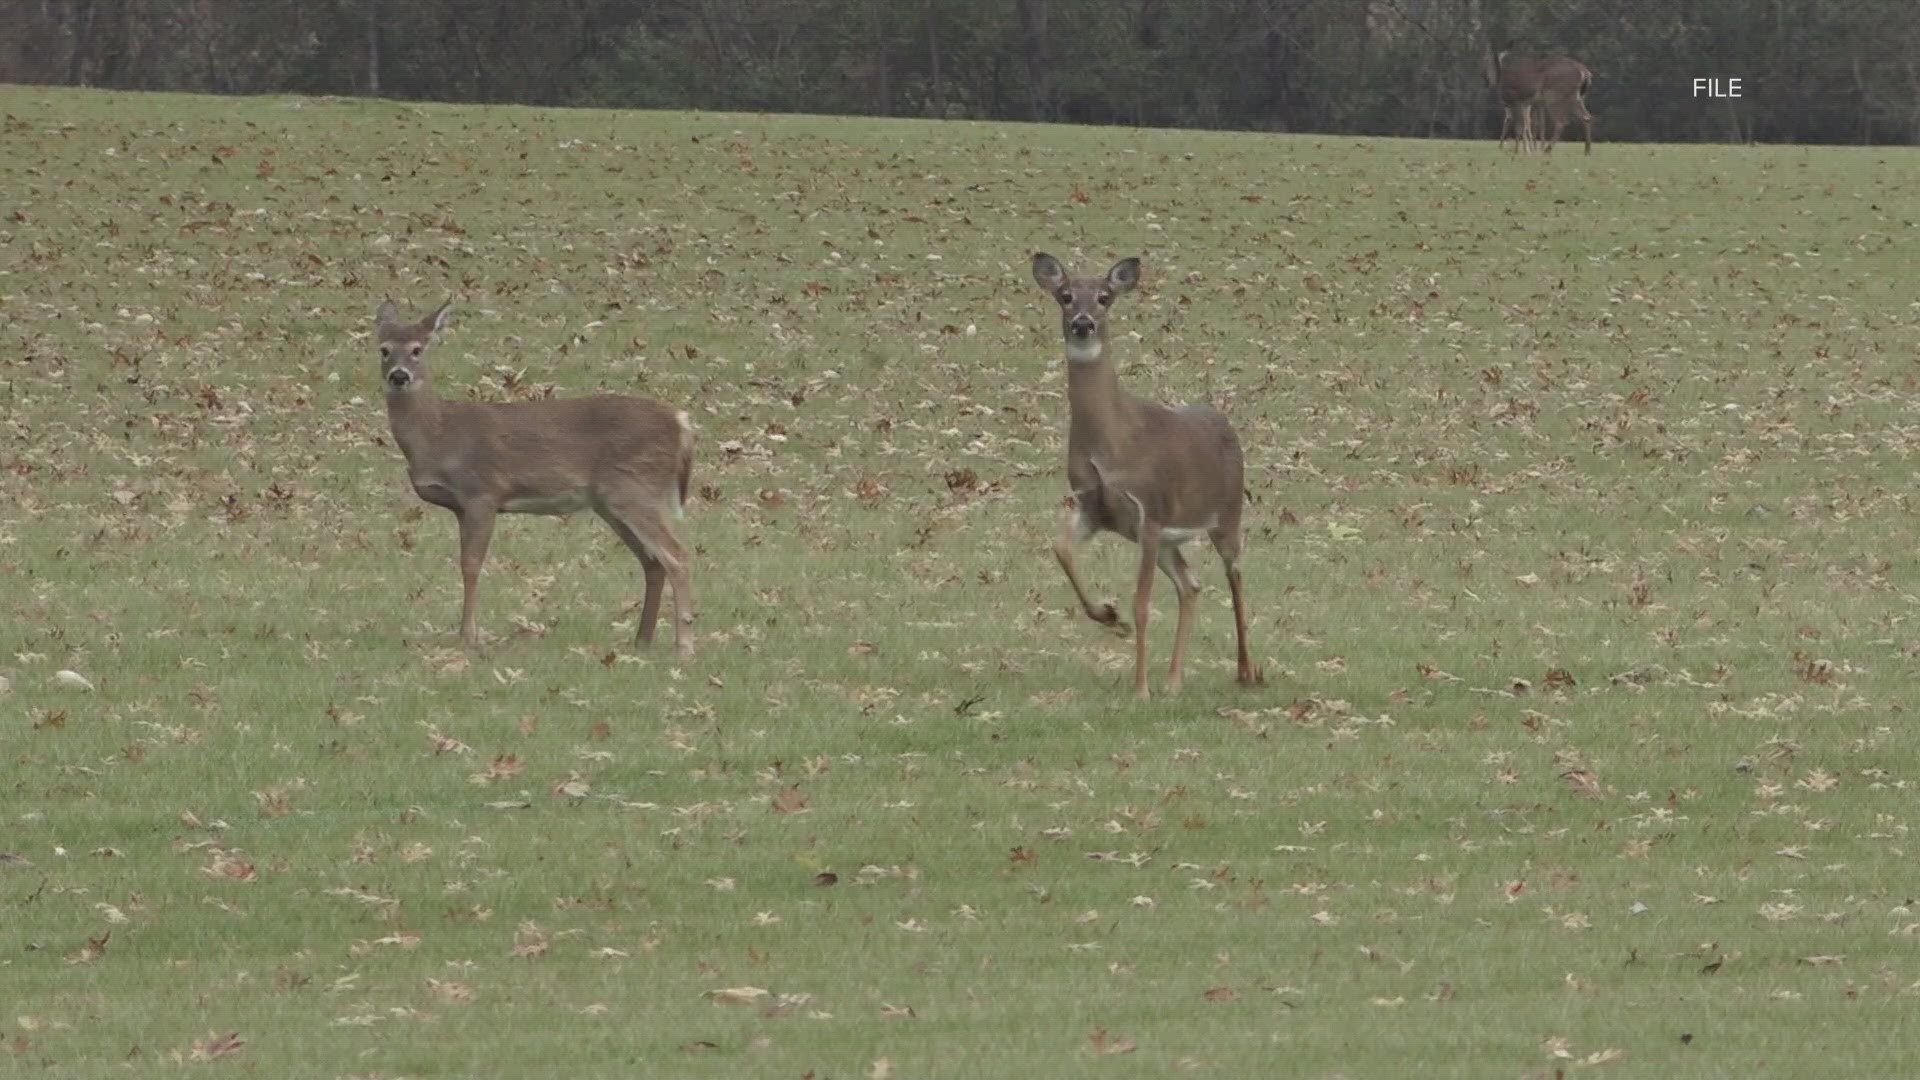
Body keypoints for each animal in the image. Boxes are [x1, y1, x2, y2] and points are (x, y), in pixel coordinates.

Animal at [370, 297, 695, 657]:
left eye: (418, 349)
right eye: (384, 349)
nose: (399, 376)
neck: (438, 436)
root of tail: (681, 423)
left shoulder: (483, 492)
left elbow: (471, 564)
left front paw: (469, 637)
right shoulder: (460, 506)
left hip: (635, 489)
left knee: (677, 555)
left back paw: (684, 647)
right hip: (612, 501)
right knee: (653, 561)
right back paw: (642, 641)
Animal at [1029, 251, 1267, 691]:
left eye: (1104, 297)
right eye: (1065, 295)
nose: (1083, 323)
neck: (1112, 443)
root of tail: (1225, 423)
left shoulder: (1149, 511)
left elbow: (1142, 604)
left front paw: (1139, 688)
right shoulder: (1093, 507)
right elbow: (1061, 549)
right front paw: (1109, 616)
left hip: (1227, 514)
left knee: (1236, 574)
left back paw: (1246, 670)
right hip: (1172, 540)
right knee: (1191, 585)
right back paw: (1173, 681)